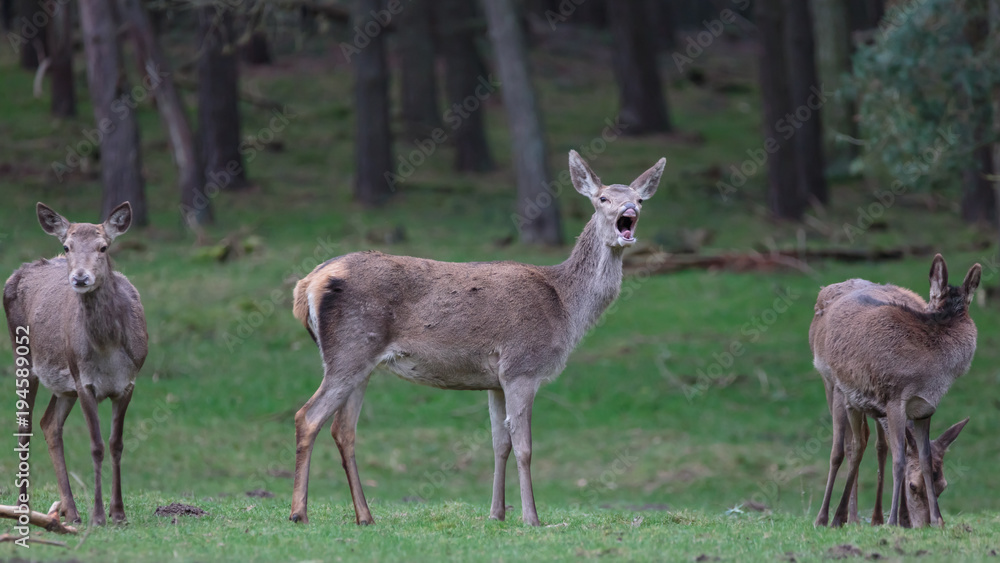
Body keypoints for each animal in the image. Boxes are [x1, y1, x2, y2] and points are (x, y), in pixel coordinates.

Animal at [2, 204, 146, 528]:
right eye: (67, 247)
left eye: (103, 247)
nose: (80, 278)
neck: (107, 349)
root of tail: (18, 271)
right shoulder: (84, 382)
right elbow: (97, 446)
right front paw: (99, 516)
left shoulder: (129, 382)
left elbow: (117, 444)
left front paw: (119, 513)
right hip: (24, 356)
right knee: (24, 426)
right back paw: (23, 507)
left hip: (64, 386)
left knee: (49, 424)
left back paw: (69, 509)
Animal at [288, 152, 664, 528]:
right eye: (603, 198)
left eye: (640, 199)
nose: (629, 209)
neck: (566, 308)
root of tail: (306, 284)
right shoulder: (522, 366)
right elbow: (524, 447)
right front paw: (532, 518)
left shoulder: (495, 380)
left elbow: (500, 444)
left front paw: (496, 513)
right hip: (349, 350)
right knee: (308, 416)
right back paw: (299, 513)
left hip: (361, 361)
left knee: (343, 429)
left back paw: (365, 516)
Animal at [812, 256, 976, 528]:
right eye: (912, 487)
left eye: (944, 486)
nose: (923, 524)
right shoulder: (895, 400)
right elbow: (899, 460)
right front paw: (892, 521)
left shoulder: (924, 408)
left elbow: (922, 457)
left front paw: (935, 520)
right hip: (832, 384)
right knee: (842, 449)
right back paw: (828, 516)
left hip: (858, 402)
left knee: (864, 443)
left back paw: (852, 516)